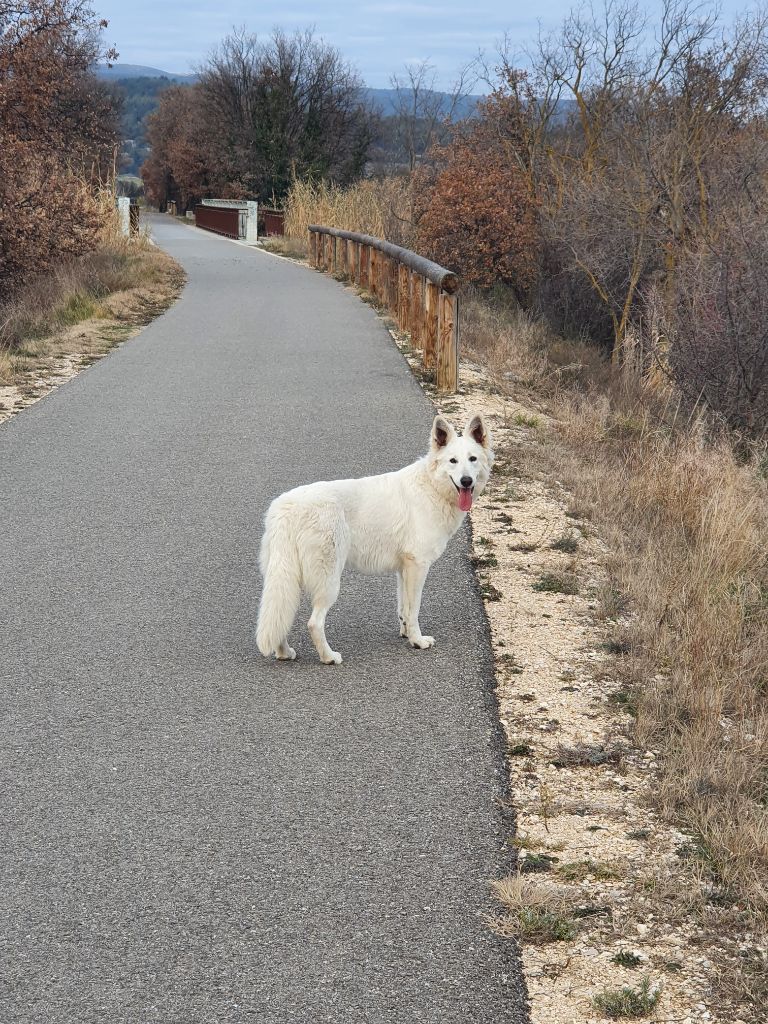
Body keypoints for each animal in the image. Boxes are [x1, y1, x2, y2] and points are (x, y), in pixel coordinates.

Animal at [253, 413, 493, 663]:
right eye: (453, 461)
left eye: (473, 459)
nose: (466, 481)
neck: (432, 487)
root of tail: (286, 508)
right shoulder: (418, 566)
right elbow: (414, 610)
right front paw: (418, 641)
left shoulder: (404, 569)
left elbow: (403, 609)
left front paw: (406, 634)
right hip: (329, 581)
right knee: (314, 623)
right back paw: (329, 657)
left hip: (287, 578)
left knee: (281, 616)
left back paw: (284, 653)